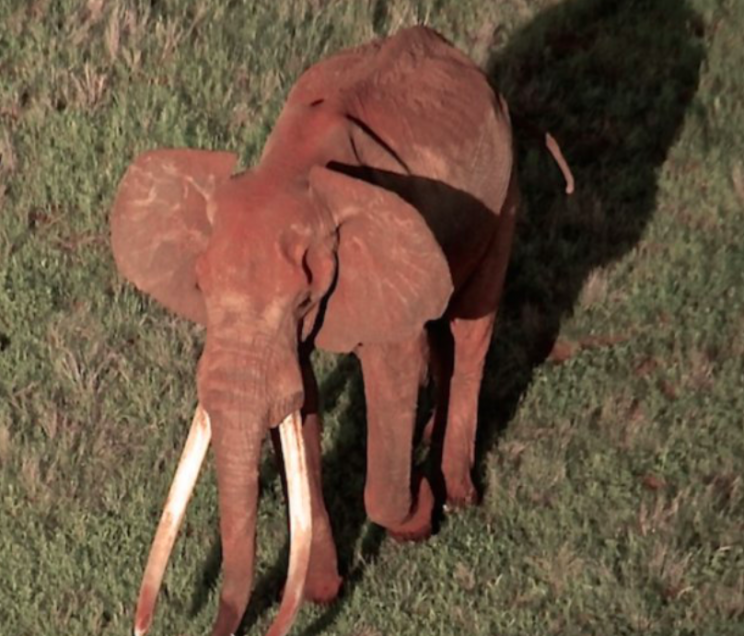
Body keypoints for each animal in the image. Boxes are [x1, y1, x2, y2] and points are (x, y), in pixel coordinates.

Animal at [109, 26, 568, 636]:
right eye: (200, 287)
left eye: (302, 299)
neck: (292, 172)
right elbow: (299, 399)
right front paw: (323, 591)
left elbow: (392, 365)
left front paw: (419, 510)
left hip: (504, 192)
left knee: (472, 325)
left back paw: (460, 492)